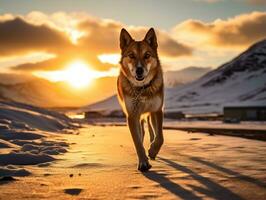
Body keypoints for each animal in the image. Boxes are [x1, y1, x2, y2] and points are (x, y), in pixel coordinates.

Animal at [117, 27, 163, 172]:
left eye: (147, 55)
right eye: (131, 55)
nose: (139, 70)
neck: (142, 89)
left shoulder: (157, 110)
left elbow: (160, 137)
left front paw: (152, 151)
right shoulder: (132, 115)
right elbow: (137, 141)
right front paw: (143, 162)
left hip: (149, 115)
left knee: (152, 131)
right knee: (142, 132)